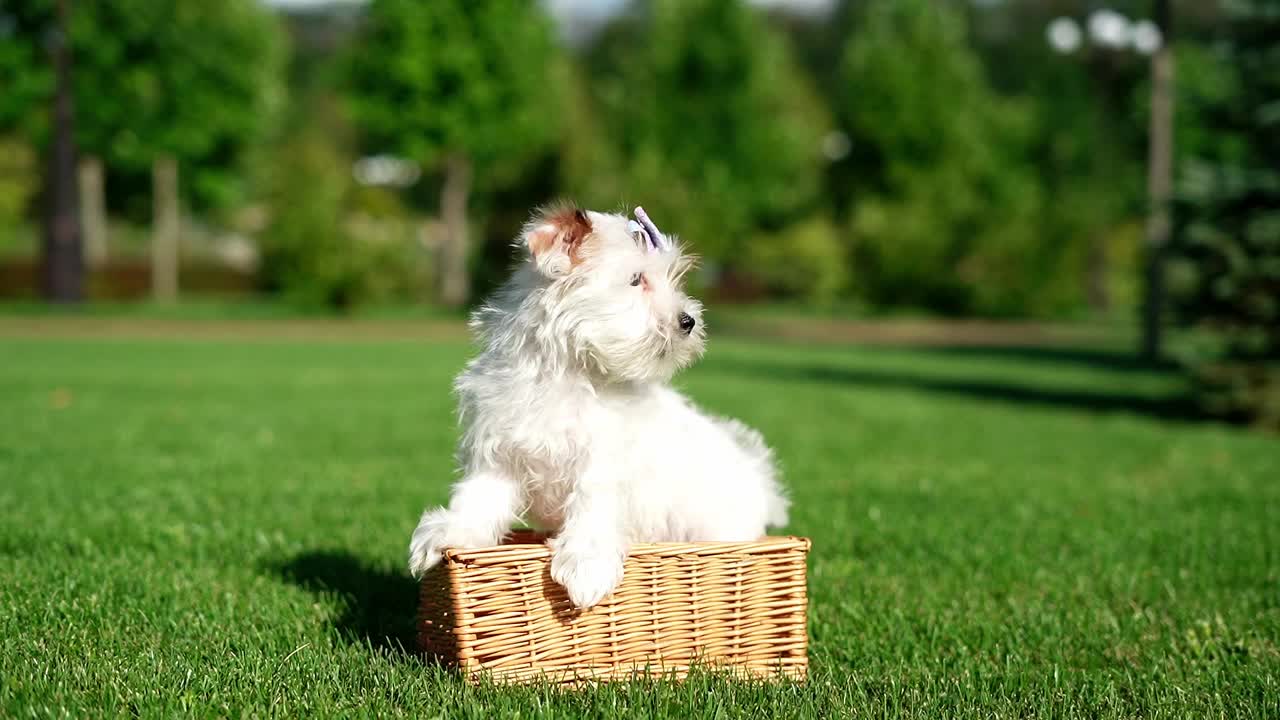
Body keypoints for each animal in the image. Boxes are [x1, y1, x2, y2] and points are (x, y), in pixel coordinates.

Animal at [409, 203, 788, 604]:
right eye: (636, 280)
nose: (688, 321)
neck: (568, 374)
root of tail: (759, 485)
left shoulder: (603, 461)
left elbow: (592, 503)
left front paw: (586, 565)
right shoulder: (498, 452)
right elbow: (478, 497)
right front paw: (450, 533)